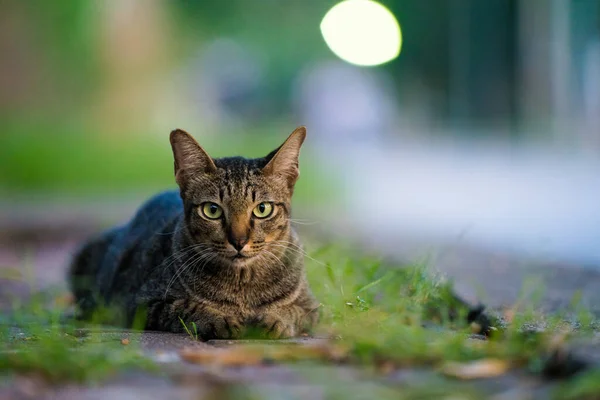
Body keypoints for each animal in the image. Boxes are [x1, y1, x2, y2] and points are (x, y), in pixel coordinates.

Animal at [68, 126, 322, 340]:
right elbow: (183, 306)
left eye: (262, 209)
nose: (238, 241)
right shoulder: (138, 304)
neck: (242, 287)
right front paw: (218, 318)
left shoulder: (313, 308)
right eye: (212, 210)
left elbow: (293, 311)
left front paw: (274, 318)